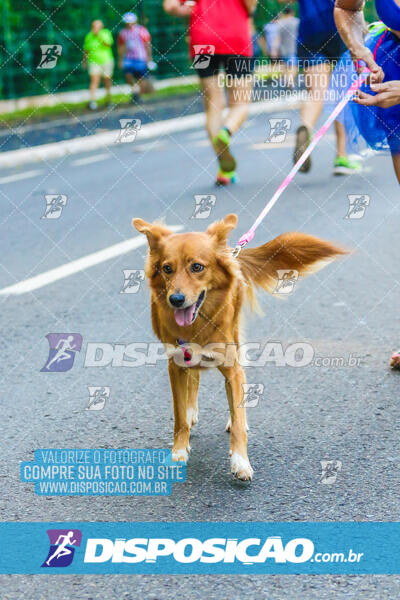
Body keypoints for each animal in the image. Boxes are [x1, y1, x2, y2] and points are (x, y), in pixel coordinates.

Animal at [133, 213, 346, 480]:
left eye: (197, 267)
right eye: (167, 268)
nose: (176, 300)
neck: (198, 323)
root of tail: (233, 252)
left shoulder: (232, 368)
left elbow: (236, 418)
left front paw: (240, 461)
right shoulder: (176, 365)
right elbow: (179, 417)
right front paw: (179, 451)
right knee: (194, 381)